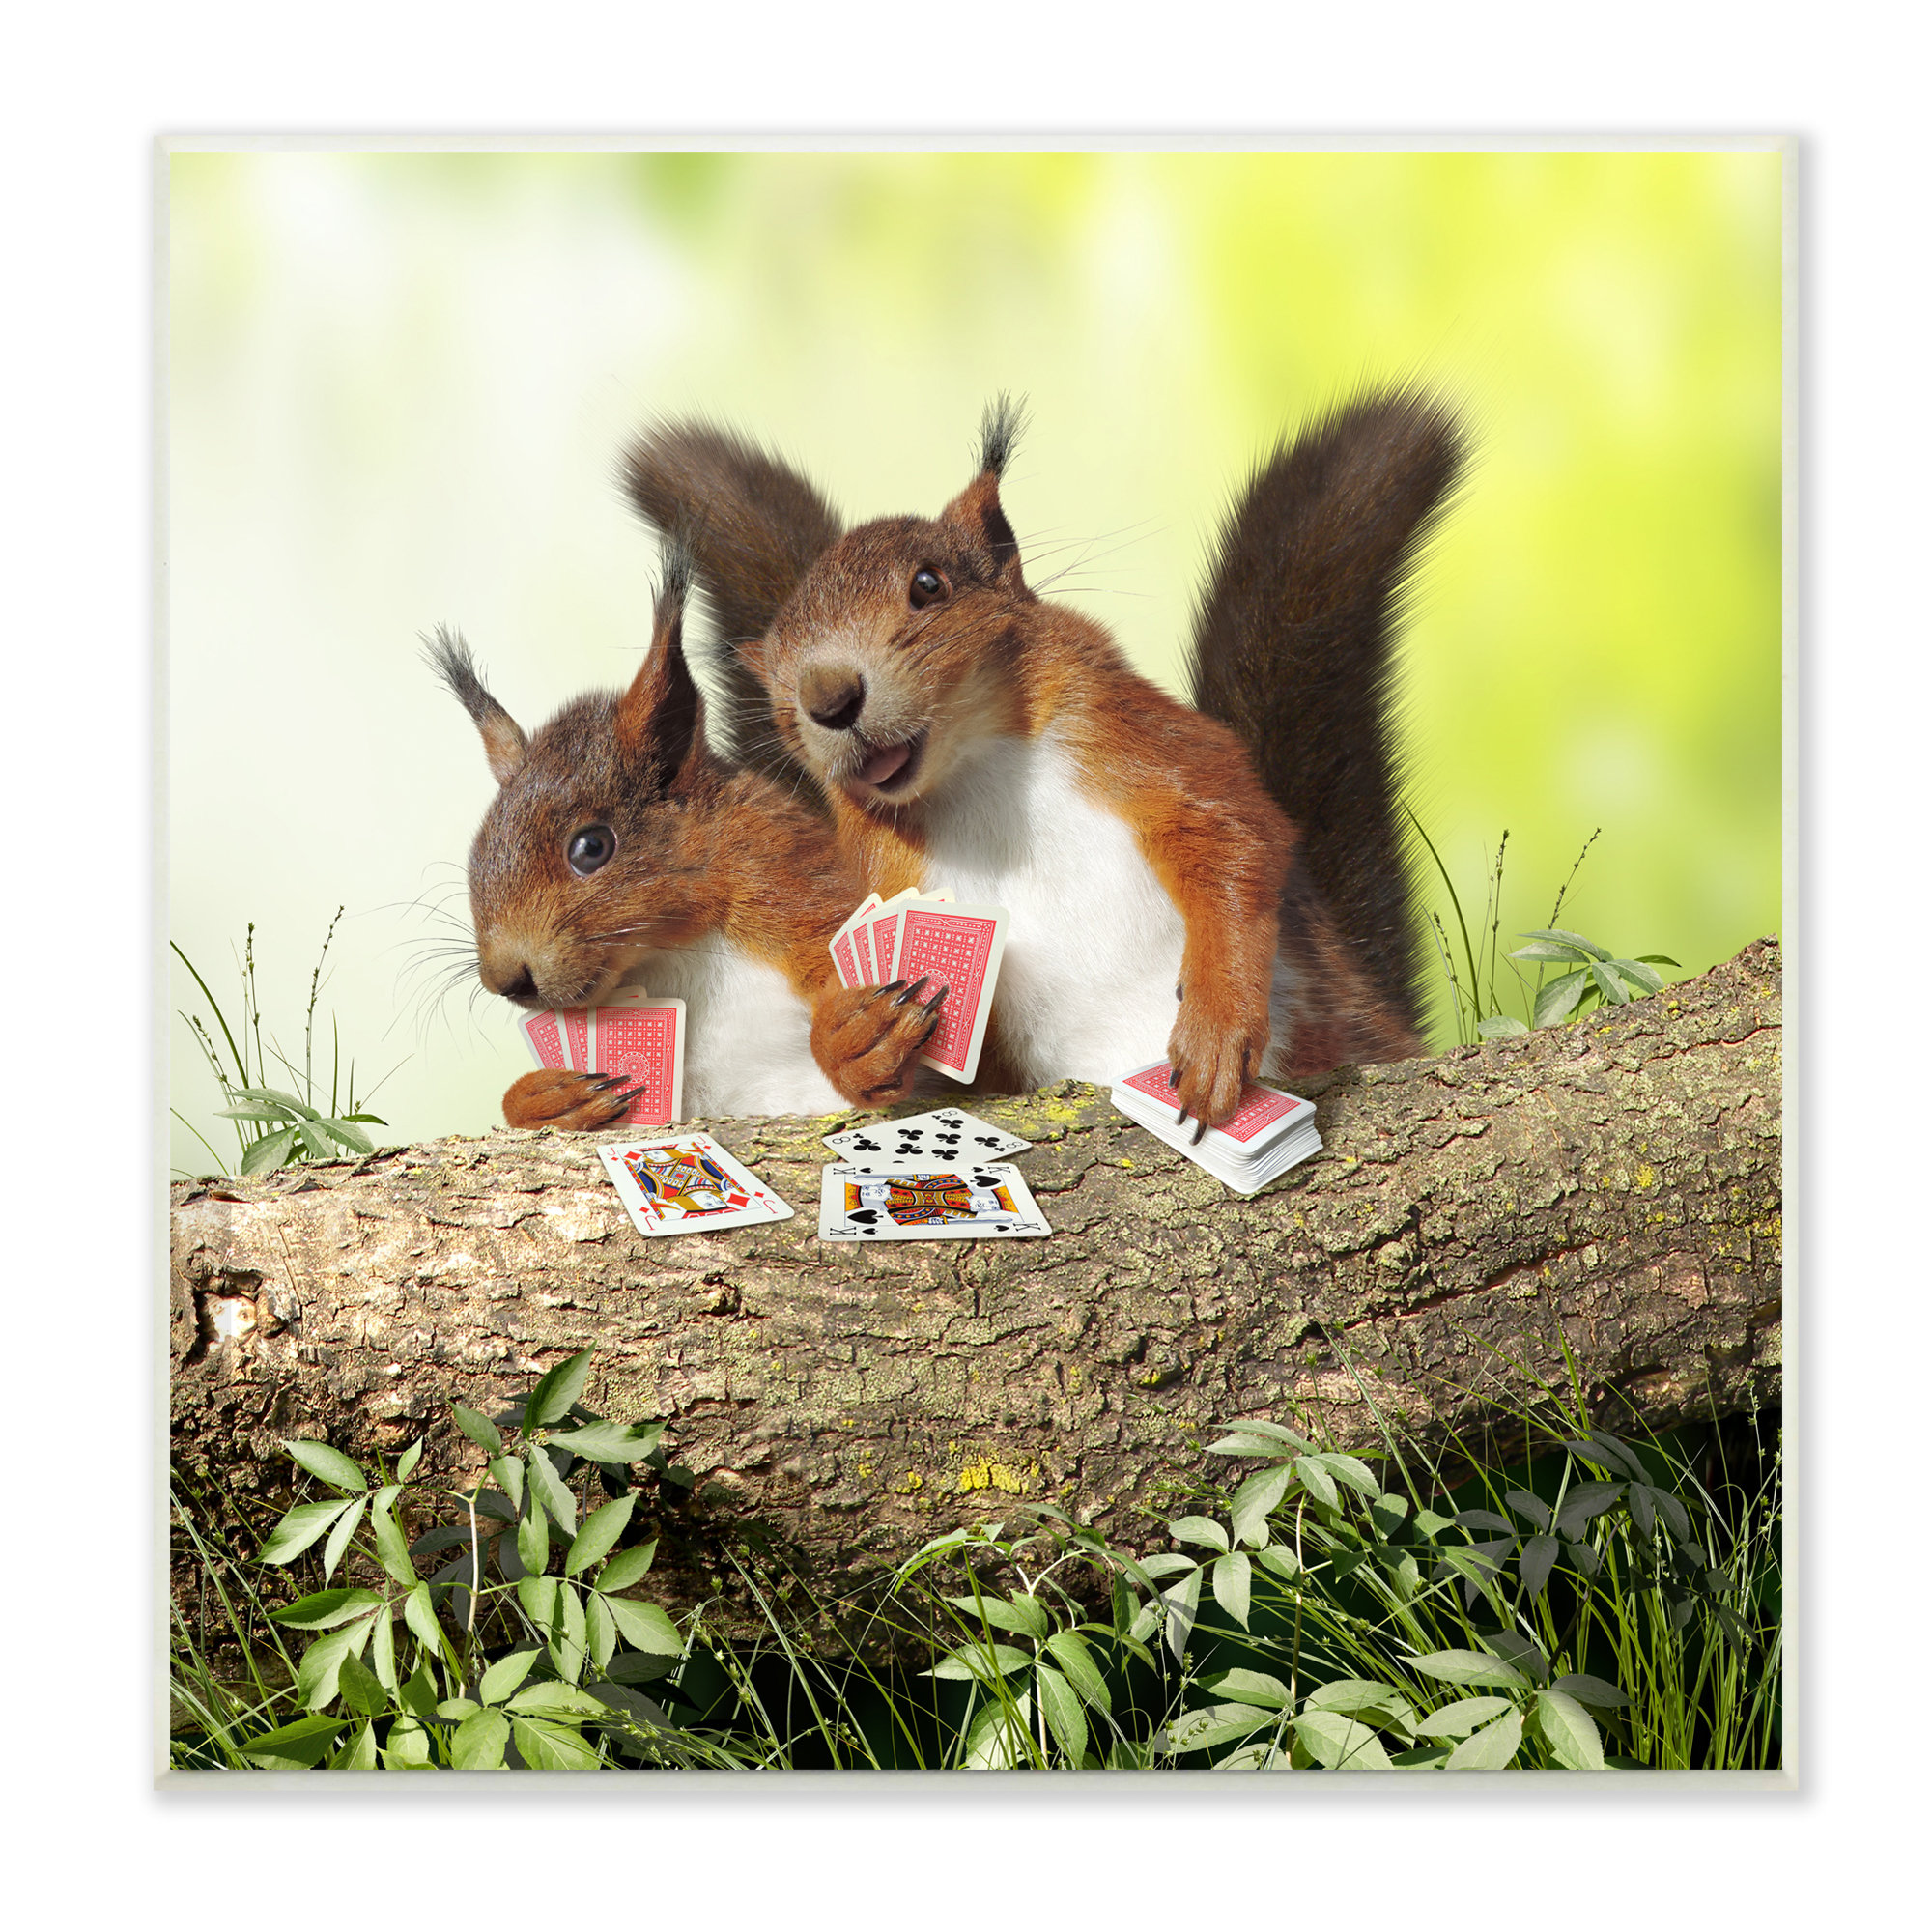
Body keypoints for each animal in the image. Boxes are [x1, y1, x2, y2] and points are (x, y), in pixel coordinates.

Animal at [426, 542, 946, 1133]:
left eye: (591, 847)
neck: (670, 951)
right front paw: (546, 1097)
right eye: (476, 853)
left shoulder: (784, 879)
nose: (506, 979)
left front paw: (858, 1038)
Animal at [622, 392, 1460, 1133]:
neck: (972, 775)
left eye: (929, 584)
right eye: (776, 675)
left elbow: (1231, 830)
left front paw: (1219, 1027)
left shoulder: (1127, 731)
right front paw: (853, 1037)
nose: (827, 696)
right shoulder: (871, 876)